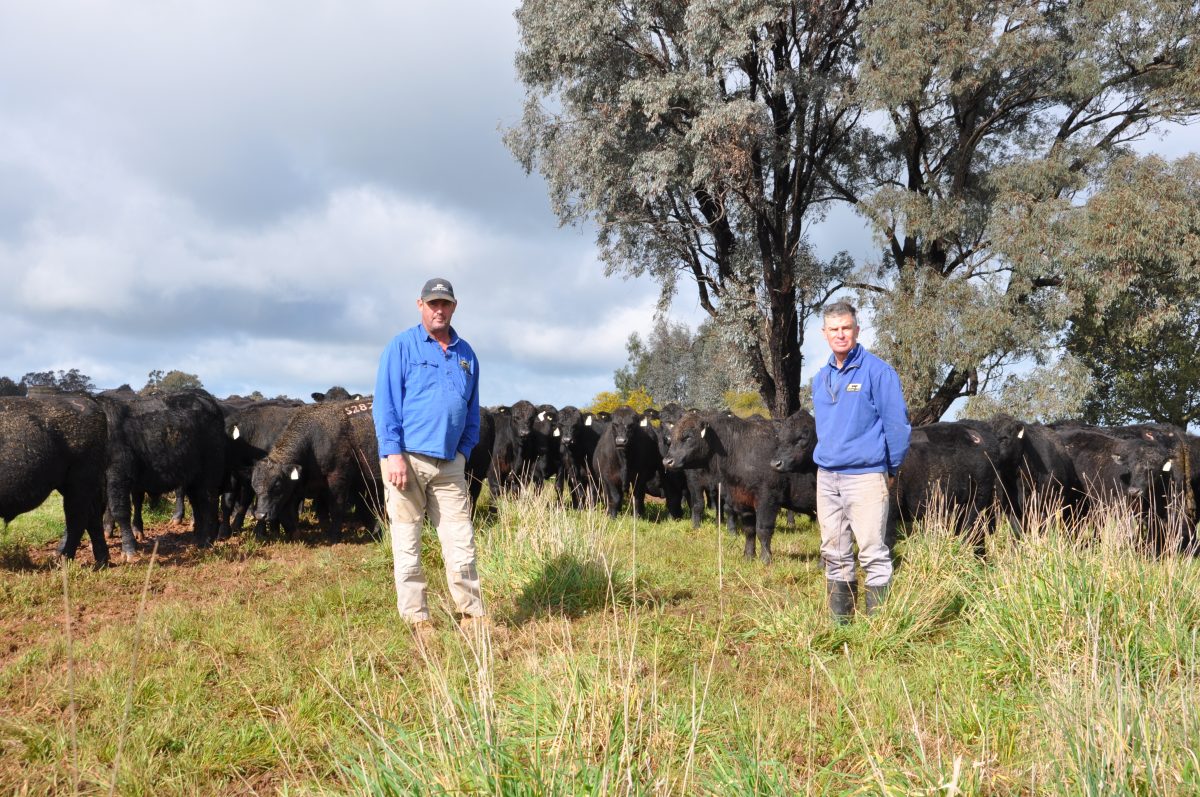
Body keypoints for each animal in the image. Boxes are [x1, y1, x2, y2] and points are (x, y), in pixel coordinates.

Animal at [96, 386, 226, 554]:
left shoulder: (118, 475)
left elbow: (119, 509)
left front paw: (129, 548)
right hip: (192, 476)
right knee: (197, 504)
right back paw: (197, 537)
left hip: (209, 473)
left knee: (209, 501)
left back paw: (206, 540)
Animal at [250, 398, 381, 542]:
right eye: (254, 487)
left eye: (277, 486)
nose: (260, 515)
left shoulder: (338, 478)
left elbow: (336, 508)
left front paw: (334, 535)